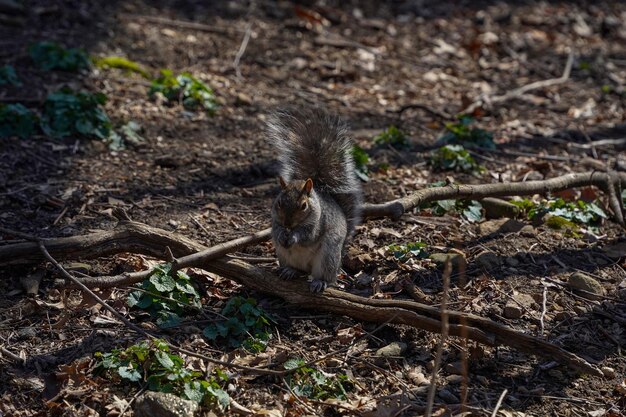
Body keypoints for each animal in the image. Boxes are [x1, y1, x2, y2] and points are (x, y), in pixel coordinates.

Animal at [266, 107, 364, 290]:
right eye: (279, 202)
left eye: (303, 206)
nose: (288, 223)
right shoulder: (275, 220)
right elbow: (276, 229)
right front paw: (282, 234)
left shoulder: (318, 223)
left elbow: (308, 235)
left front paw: (294, 236)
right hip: (283, 255)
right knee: (298, 269)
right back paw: (290, 270)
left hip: (328, 256)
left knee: (327, 276)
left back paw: (320, 282)